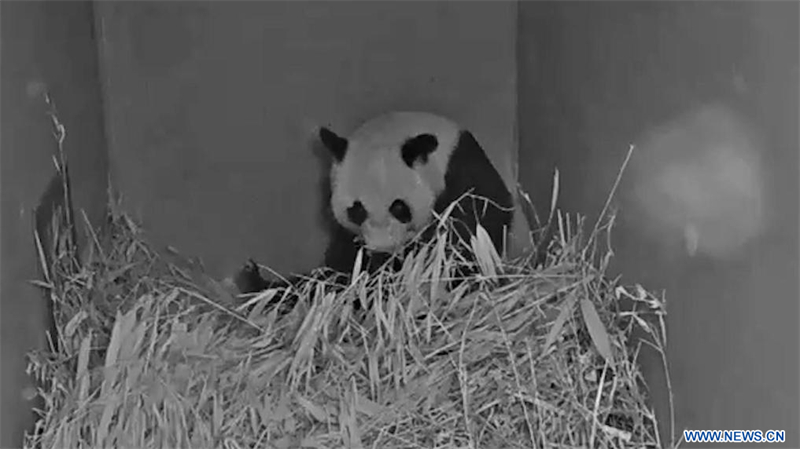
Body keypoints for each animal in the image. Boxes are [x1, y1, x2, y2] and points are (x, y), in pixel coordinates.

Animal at [236, 111, 515, 299]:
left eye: (399, 207)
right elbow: (342, 265)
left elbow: (469, 233)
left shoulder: (461, 171)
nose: (383, 249)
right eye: (357, 209)